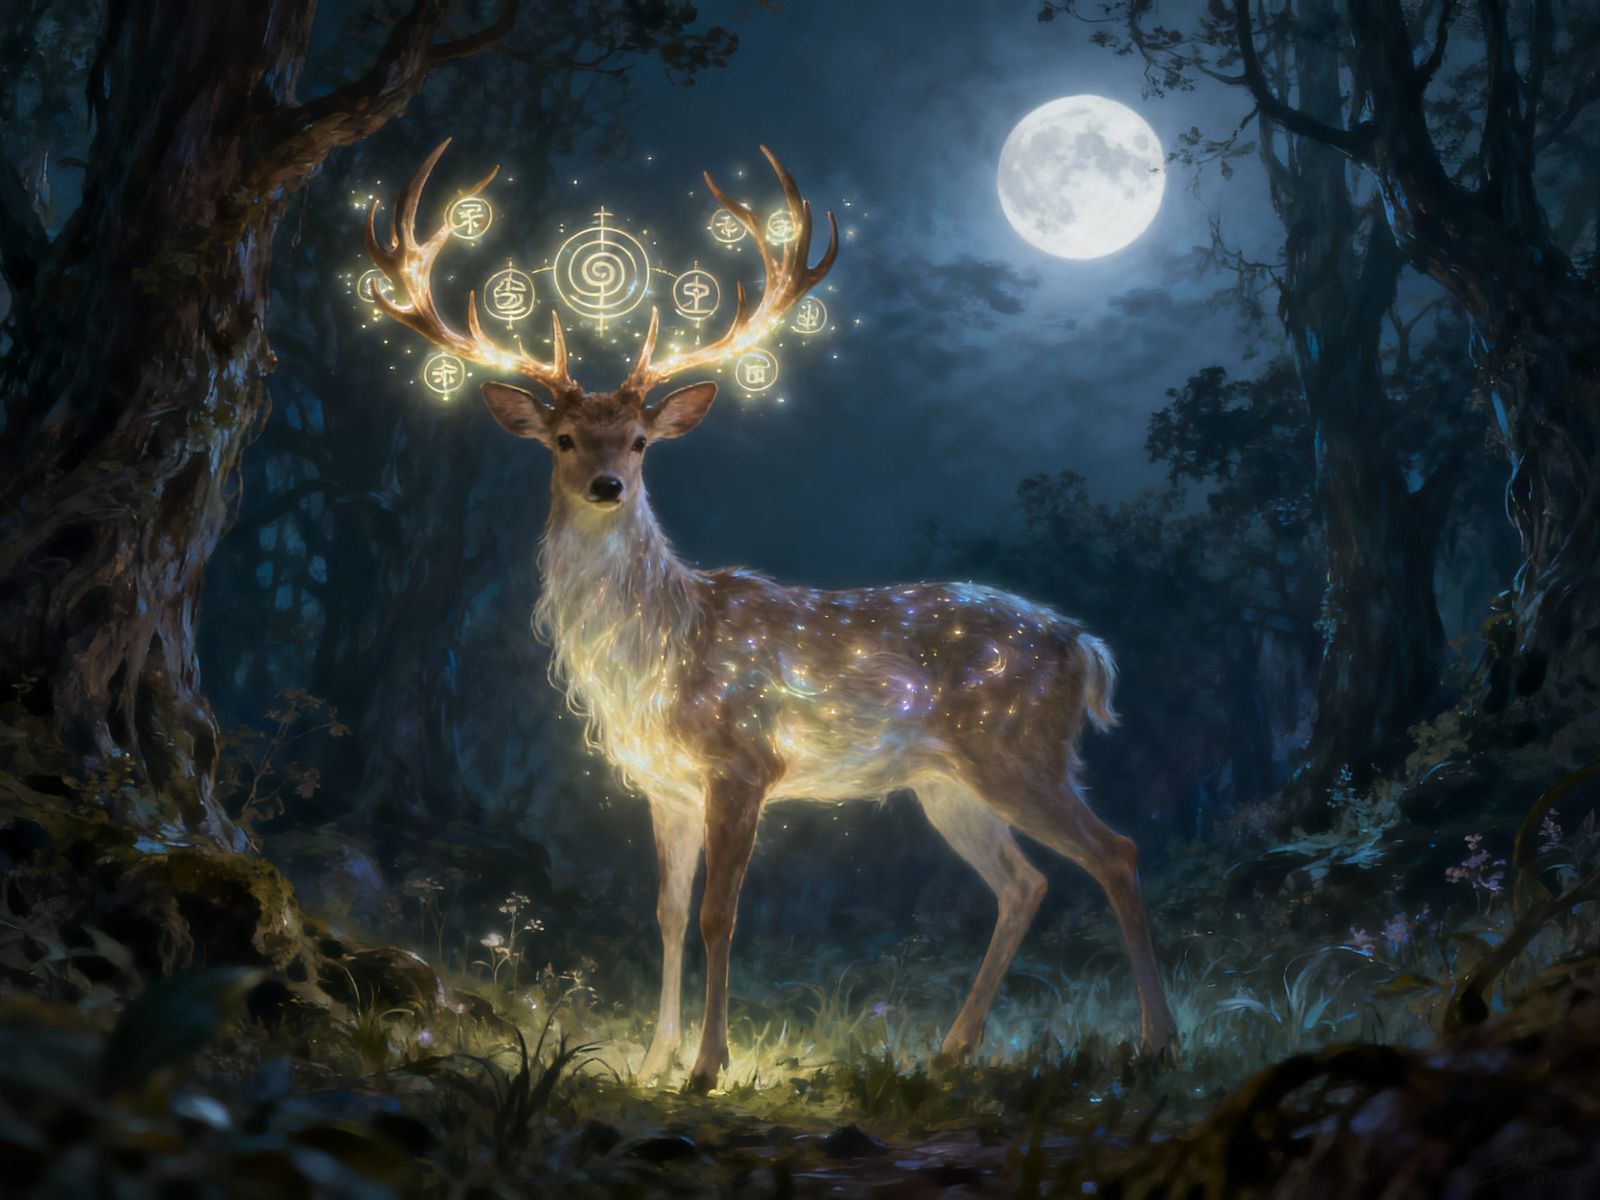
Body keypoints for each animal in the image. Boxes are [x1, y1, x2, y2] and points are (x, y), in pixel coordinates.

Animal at [363, 139, 1178, 1091]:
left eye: (639, 442)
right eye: (563, 439)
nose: (607, 485)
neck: (660, 651)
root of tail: (1083, 646)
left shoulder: (743, 760)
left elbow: (720, 913)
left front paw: (708, 1065)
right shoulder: (663, 782)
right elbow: (667, 911)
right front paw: (654, 1058)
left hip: (1017, 749)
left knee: (1114, 852)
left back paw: (1158, 1040)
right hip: (945, 782)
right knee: (1026, 883)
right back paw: (951, 1050)